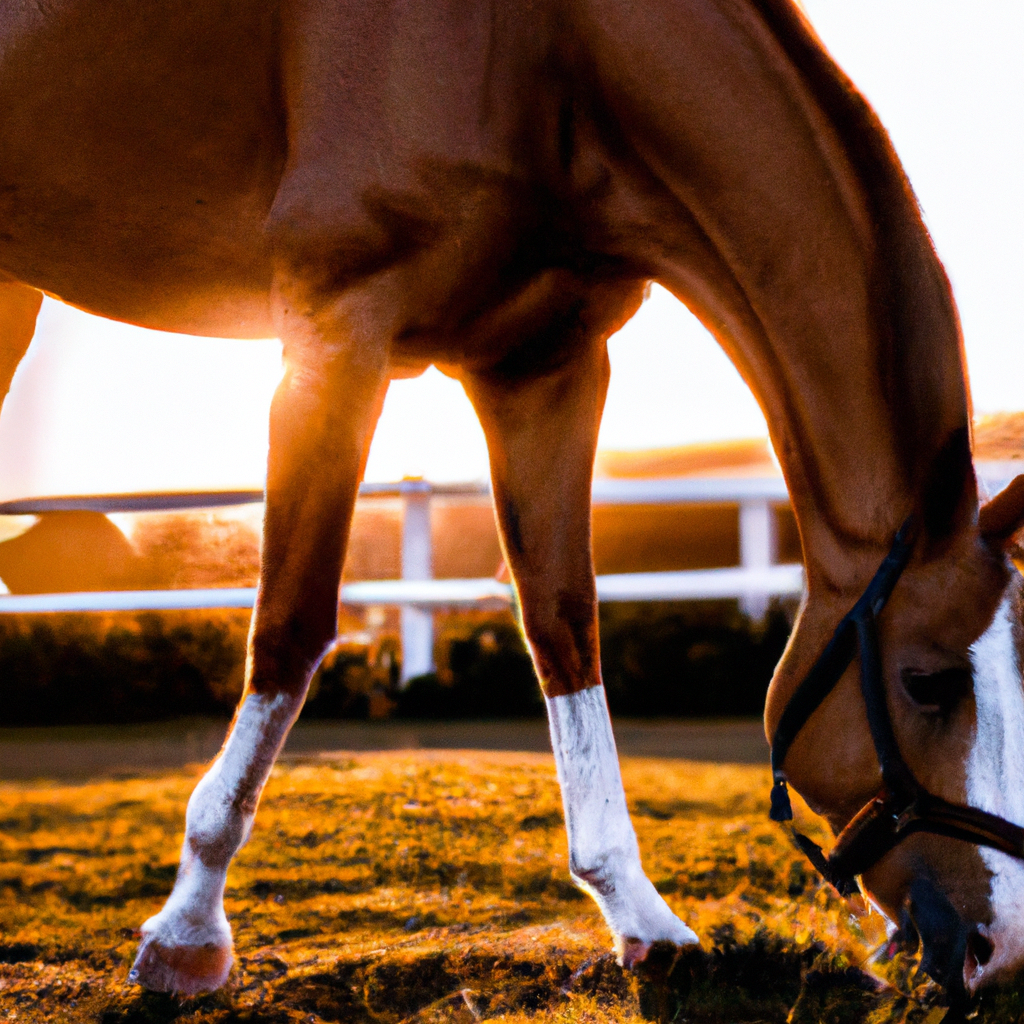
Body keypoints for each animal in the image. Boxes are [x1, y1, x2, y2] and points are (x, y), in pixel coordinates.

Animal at [2, 0, 1024, 1007]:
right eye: (928, 682)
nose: (1000, 947)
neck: (546, 48)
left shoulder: (542, 365)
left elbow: (565, 623)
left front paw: (642, 918)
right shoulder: (336, 325)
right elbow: (291, 625)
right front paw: (187, 932)